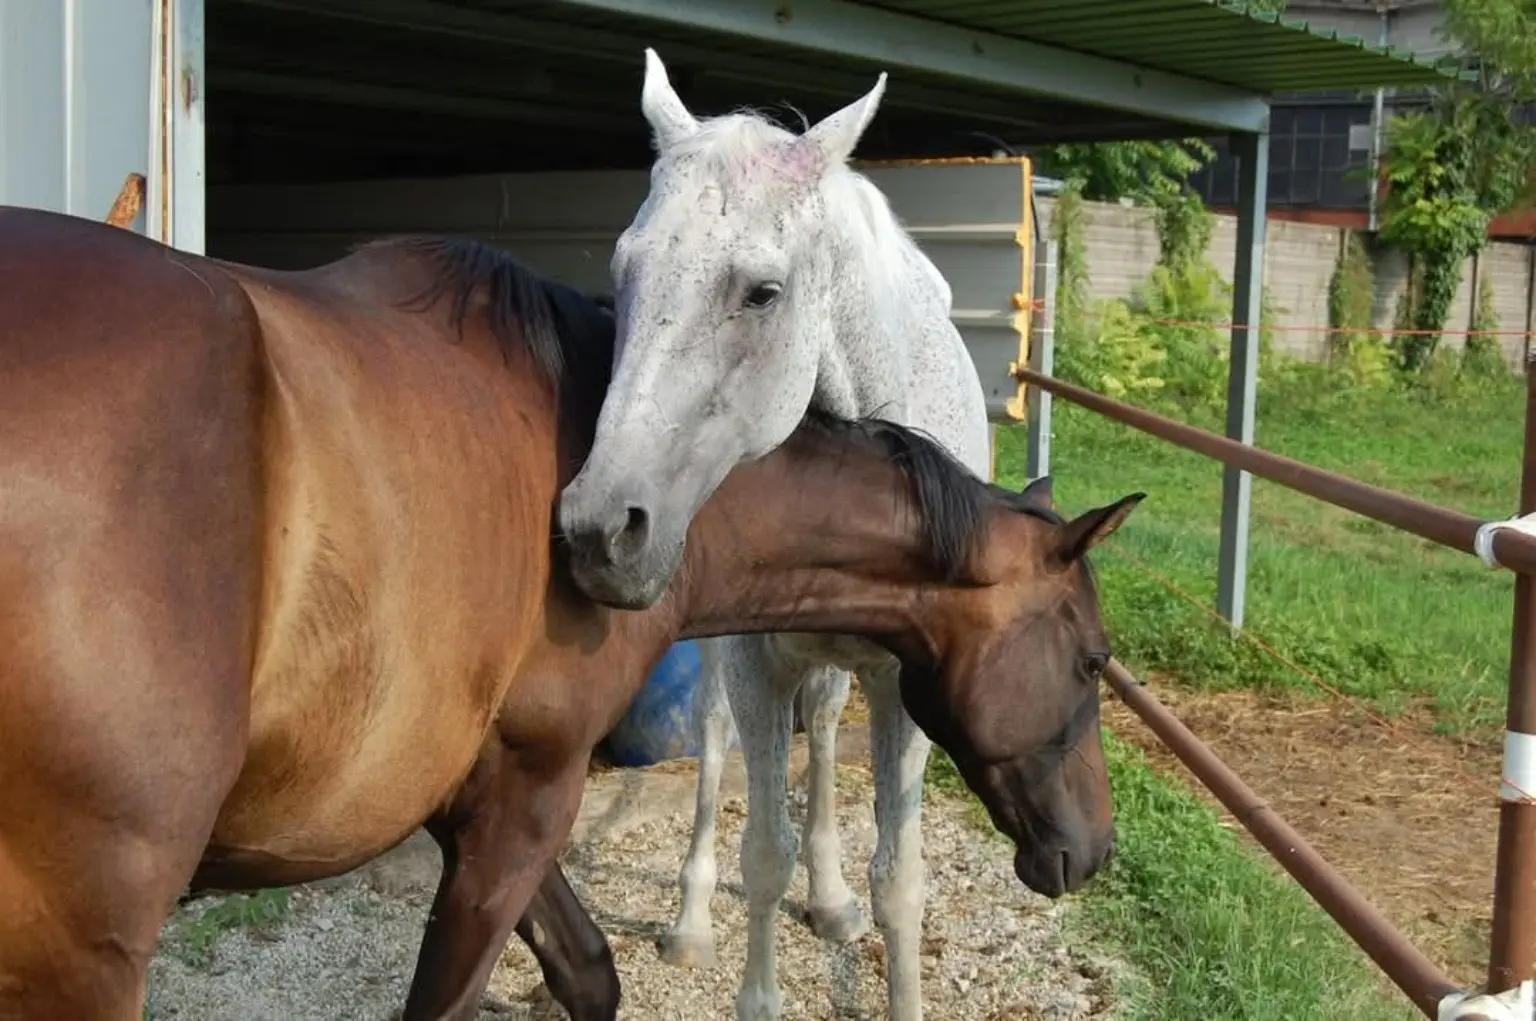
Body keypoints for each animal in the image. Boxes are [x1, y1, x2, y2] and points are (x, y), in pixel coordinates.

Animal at [557, 49, 997, 1021]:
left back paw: (828, 898)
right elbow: (762, 850)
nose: (599, 529)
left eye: (763, 292)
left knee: (826, 730)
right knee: (716, 739)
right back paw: (691, 918)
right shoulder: (758, 665)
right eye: (623, 271)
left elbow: (898, 877)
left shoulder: (908, 689)